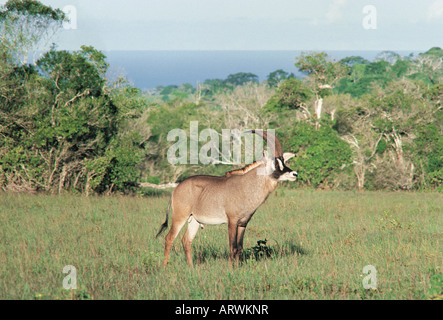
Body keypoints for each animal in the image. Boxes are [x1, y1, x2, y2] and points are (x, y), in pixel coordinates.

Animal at [156, 129, 298, 266]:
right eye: (275, 164)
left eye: (284, 161)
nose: (294, 174)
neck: (245, 186)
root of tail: (176, 189)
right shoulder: (232, 221)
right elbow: (232, 247)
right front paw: (231, 269)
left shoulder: (243, 223)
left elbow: (239, 248)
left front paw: (238, 268)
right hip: (180, 217)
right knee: (169, 238)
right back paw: (164, 267)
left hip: (194, 220)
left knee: (186, 240)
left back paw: (191, 267)